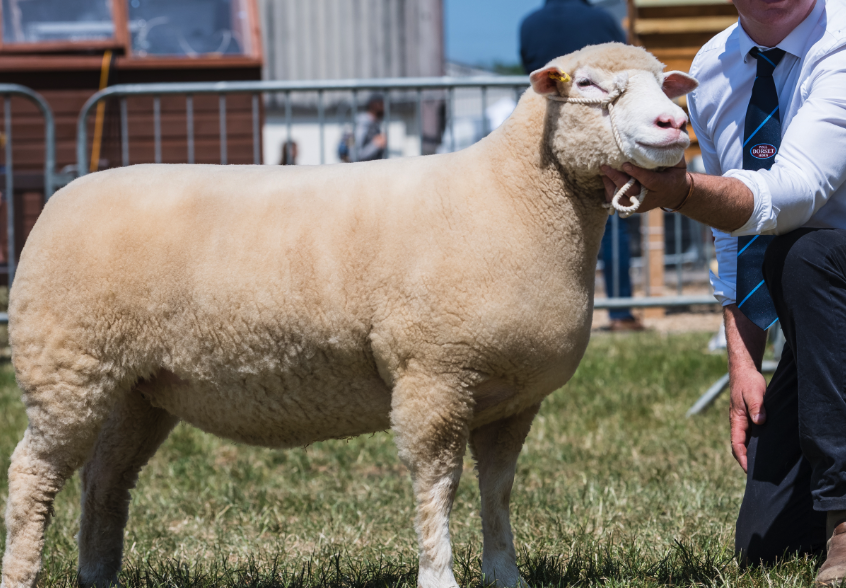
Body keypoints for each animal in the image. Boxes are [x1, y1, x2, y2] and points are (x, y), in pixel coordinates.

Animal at [1, 43, 696, 588]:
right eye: (590, 86)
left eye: (665, 82)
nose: (675, 122)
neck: (511, 196)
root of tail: (64, 193)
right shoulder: (434, 375)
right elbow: (437, 485)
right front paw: (438, 575)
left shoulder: (511, 397)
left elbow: (496, 490)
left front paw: (507, 575)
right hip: (65, 365)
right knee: (33, 474)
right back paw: (22, 572)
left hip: (136, 387)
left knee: (104, 479)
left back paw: (97, 574)